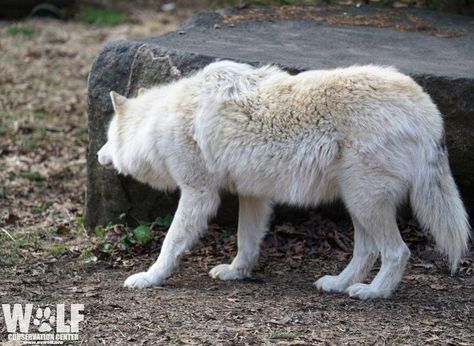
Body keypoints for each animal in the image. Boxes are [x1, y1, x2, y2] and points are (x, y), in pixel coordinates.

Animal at [98, 60, 468, 298]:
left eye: (108, 136)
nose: (99, 155)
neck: (159, 122)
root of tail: (428, 110)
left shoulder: (198, 194)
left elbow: (170, 242)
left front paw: (150, 277)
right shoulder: (254, 195)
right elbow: (246, 241)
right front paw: (236, 273)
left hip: (365, 202)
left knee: (397, 252)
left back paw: (373, 293)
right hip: (357, 203)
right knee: (367, 251)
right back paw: (338, 284)